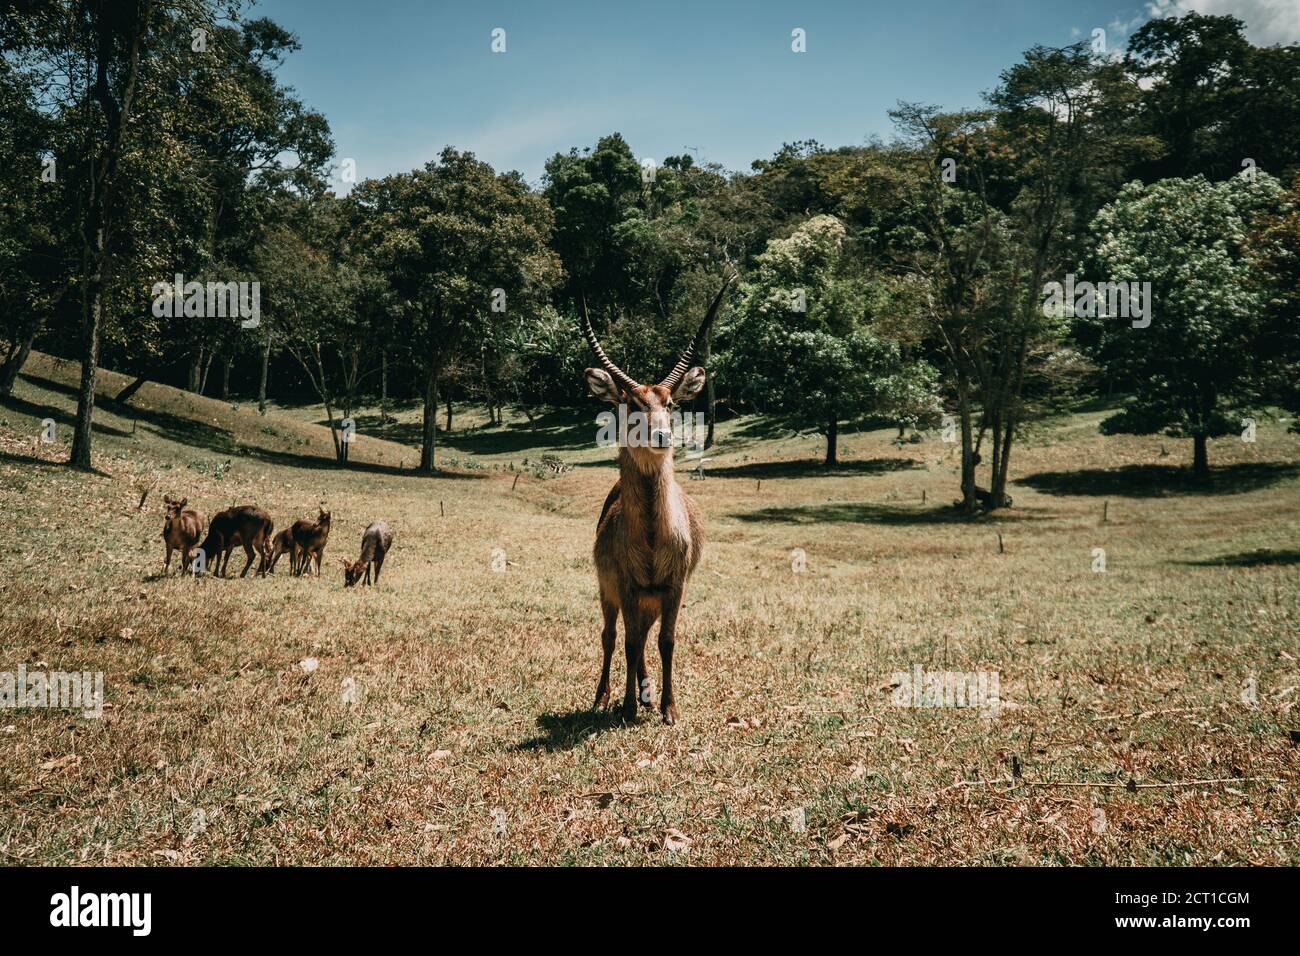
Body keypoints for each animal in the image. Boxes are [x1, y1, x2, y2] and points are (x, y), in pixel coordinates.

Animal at [581, 273, 734, 725]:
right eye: (632, 402)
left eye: (669, 402)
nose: (663, 435)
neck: (651, 534)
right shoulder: (628, 585)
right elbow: (628, 643)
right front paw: (629, 706)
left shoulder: (674, 585)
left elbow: (665, 641)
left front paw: (668, 708)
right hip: (609, 591)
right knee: (612, 635)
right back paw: (604, 697)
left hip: (650, 599)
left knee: (644, 636)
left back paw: (646, 692)